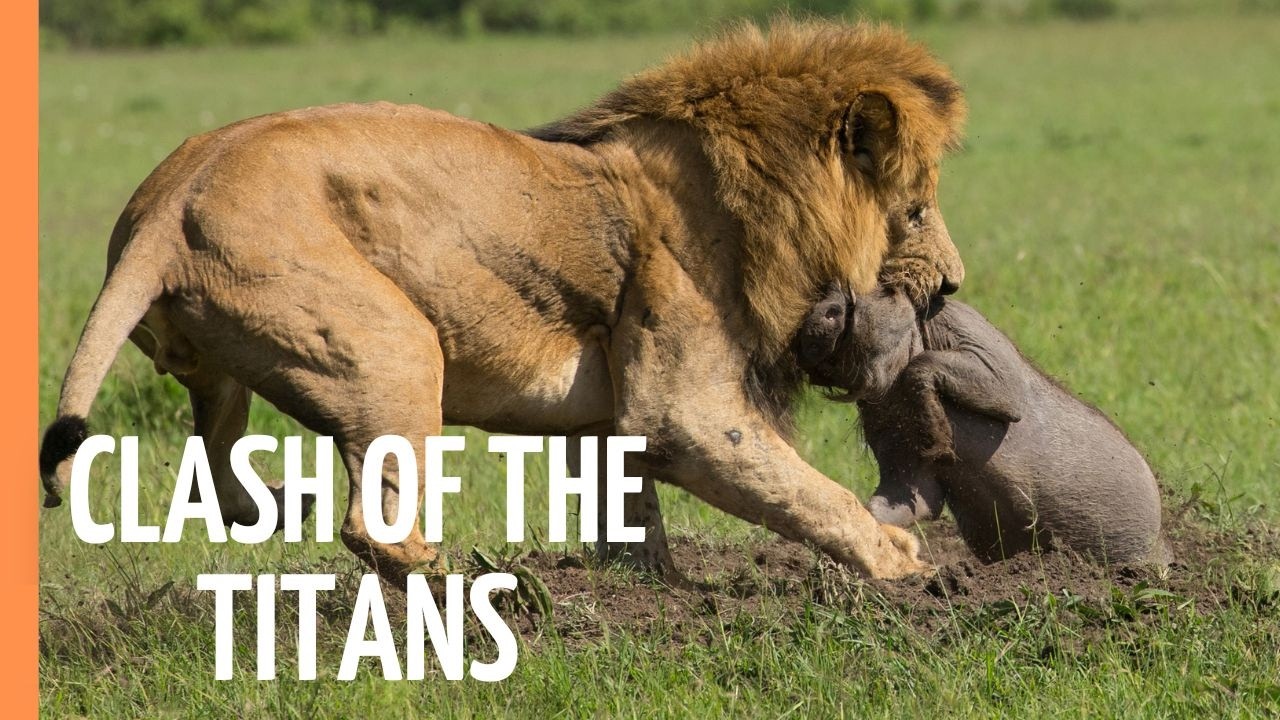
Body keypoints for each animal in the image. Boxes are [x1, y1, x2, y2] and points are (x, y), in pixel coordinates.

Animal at [39, 20, 966, 584]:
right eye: (916, 209)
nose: (954, 283)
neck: (747, 197)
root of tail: (169, 202)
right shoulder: (684, 410)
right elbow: (805, 489)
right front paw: (902, 561)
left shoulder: (609, 419)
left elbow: (633, 513)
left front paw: (650, 585)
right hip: (397, 344)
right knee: (373, 527)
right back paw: (476, 591)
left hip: (224, 371)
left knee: (222, 473)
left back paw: (279, 505)